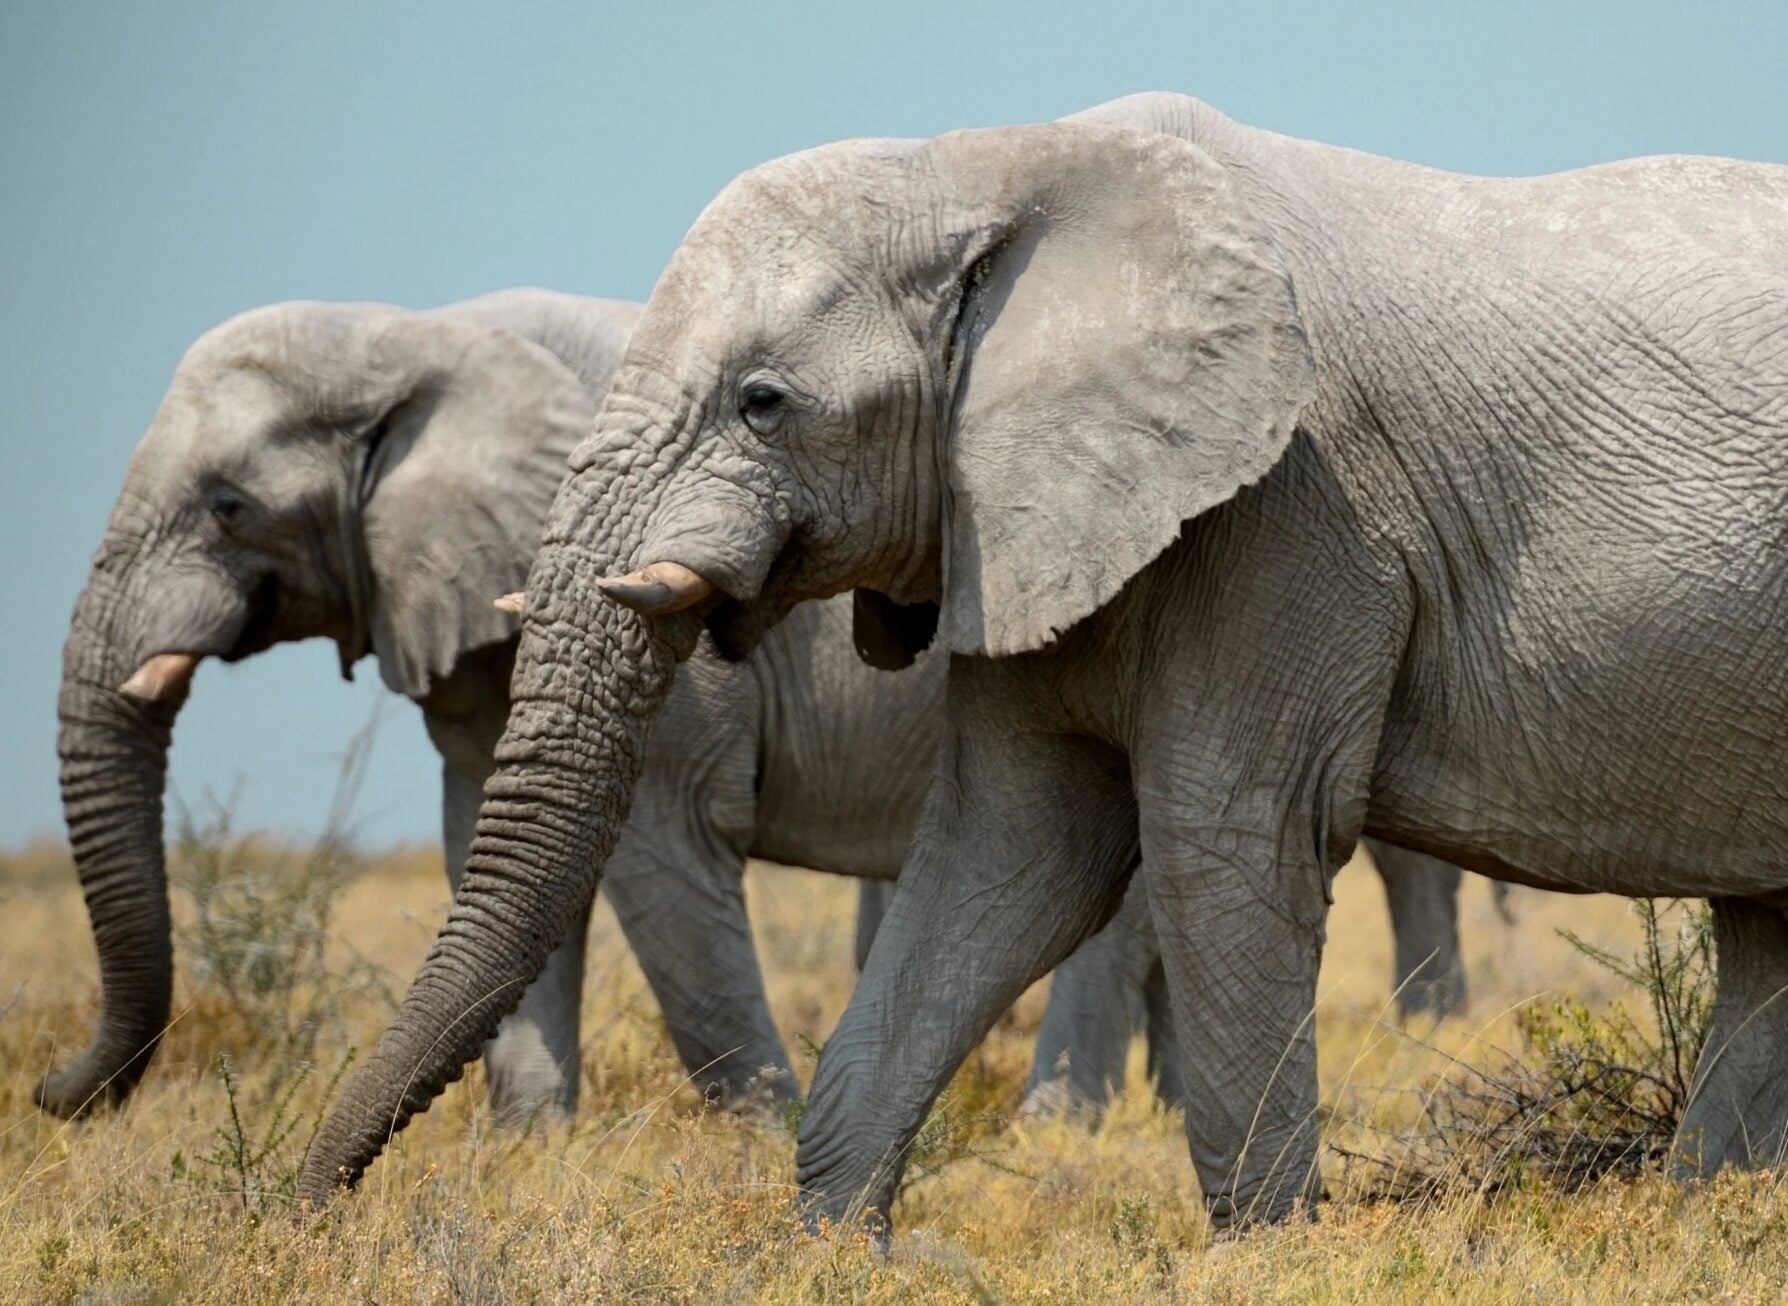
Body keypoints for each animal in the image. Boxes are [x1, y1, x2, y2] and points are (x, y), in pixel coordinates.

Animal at [41, 284, 1479, 1129]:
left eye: (227, 504)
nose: (56, 1095)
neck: (413, 327)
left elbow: (653, 859)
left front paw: (758, 1147)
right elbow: (487, 852)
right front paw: (531, 1144)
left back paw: (1059, 1130)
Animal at [288, 86, 1786, 1235]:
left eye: (762, 403)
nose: (304, 1206)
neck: (985, 165)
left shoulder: (1296, 508)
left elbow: (1227, 840)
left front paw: (1263, 1256)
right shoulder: (1015, 511)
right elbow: (1010, 850)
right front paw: (835, 1249)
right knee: (1766, 925)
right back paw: (1704, 1210)